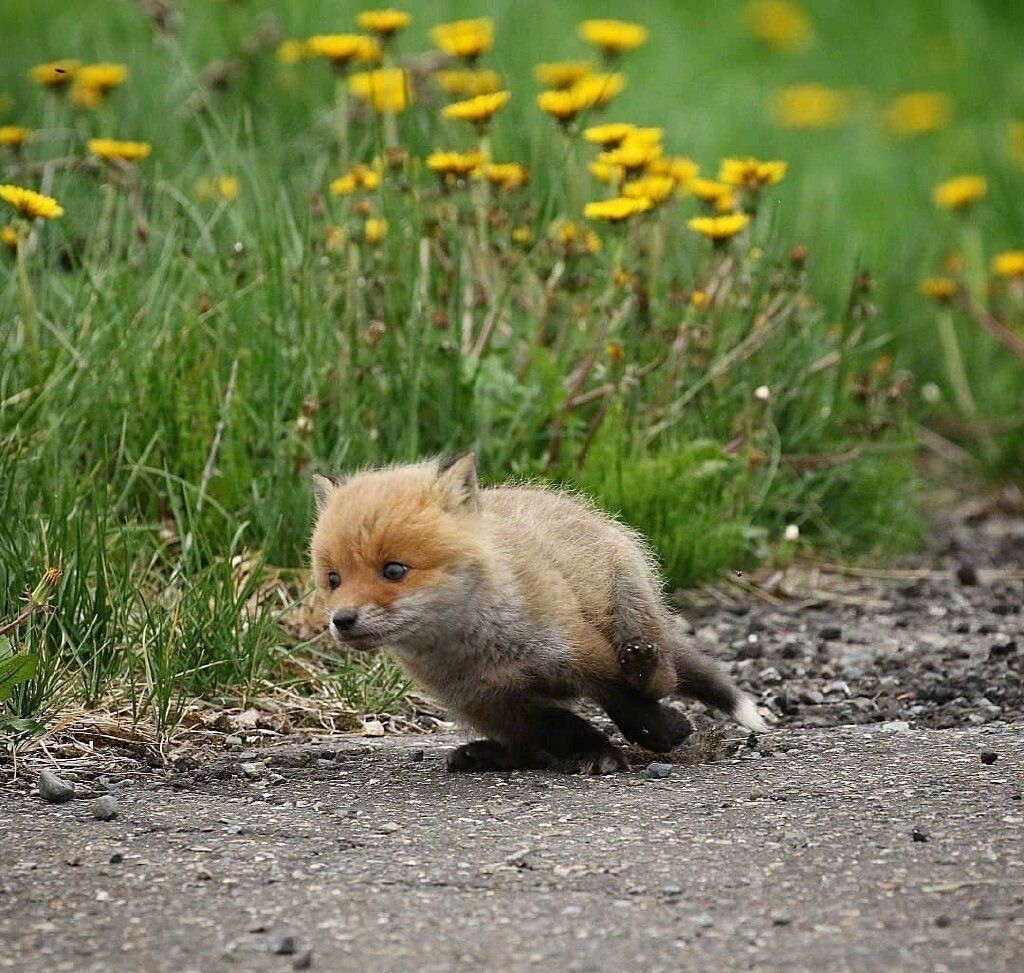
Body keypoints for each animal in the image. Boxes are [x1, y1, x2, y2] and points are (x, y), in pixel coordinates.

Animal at [307, 454, 765, 778]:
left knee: (662, 676)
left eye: (394, 571)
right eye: (333, 579)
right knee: (531, 749)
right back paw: (489, 755)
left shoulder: (581, 651)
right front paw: (598, 751)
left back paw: (645, 669)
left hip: (632, 609)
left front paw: (662, 730)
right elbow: (563, 727)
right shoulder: (491, 702)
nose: (342, 620)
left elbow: (624, 699)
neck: (483, 650)